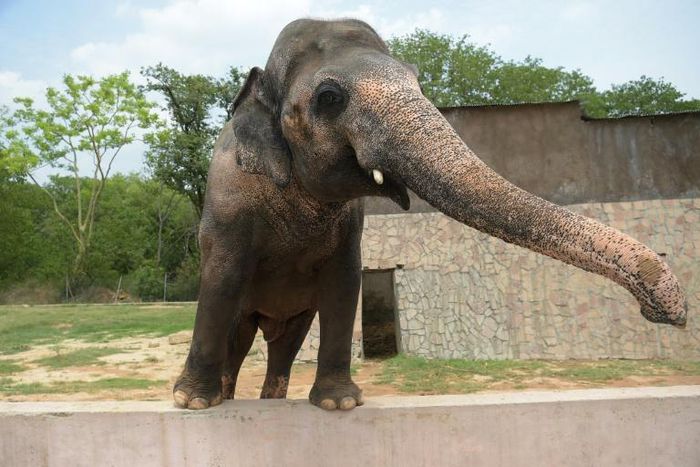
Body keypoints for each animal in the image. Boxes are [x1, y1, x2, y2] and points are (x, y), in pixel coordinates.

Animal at [173, 18, 687, 411]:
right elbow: (222, 277)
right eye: (329, 98)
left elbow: (344, 281)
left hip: (291, 321)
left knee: (285, 343)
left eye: (418, 79)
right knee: (240, 334)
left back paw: (271, 401)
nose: (665, 314)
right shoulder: (227, 202)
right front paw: (191, 402)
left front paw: (339, 403)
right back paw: (221, 396)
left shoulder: (350, 223)